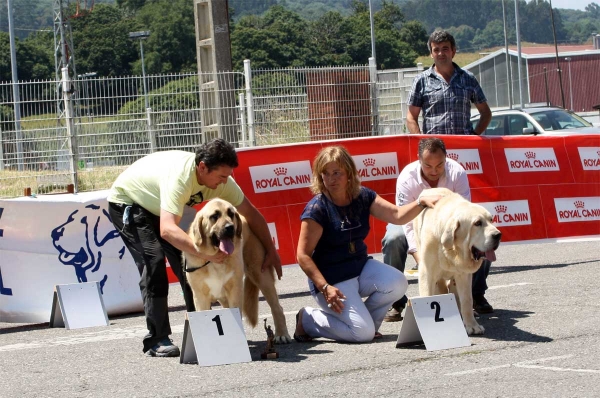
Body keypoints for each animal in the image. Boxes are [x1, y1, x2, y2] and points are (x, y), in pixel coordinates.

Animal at [185, 198, 292, 342]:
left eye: (231, 214)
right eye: (214, 216)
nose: (230, 228)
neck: (215, 258)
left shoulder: (235, 290)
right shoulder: (200, 296)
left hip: (261, 276)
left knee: (277, 307)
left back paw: (281, 334)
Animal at [412, 188, 502, 334]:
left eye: (491, 220)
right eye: (477, 223)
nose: (498, 235)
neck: (453, 248)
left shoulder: (464, 274)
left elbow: (467, 300)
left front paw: (472, 325)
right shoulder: (427, 272)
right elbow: (427, 294)